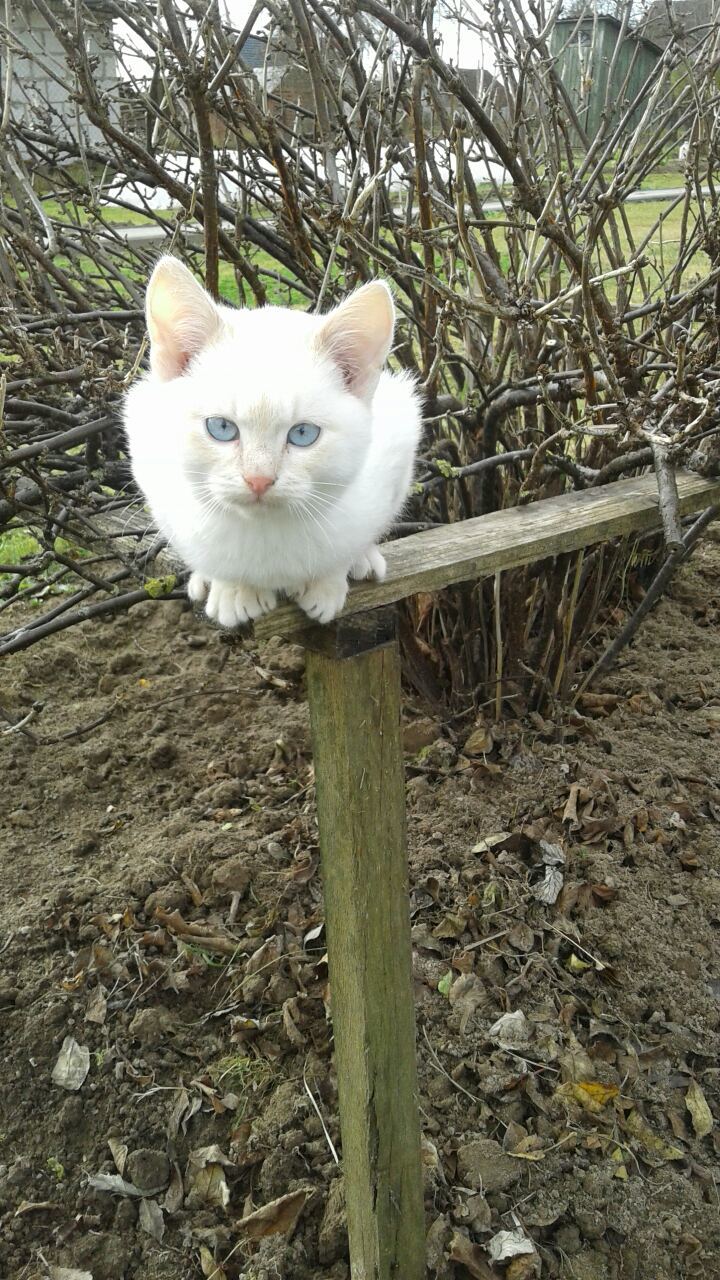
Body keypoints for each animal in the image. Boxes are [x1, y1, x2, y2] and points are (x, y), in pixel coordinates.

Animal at [124, 254, 420, 624]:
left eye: (303, 434)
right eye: (221, 428)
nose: (259, 480)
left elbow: (350, 540)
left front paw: (327, 582)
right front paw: (235, 588)